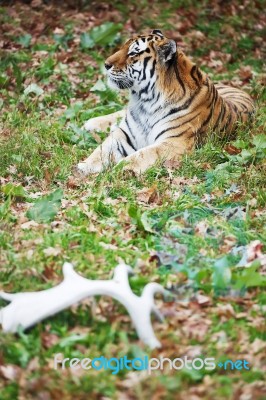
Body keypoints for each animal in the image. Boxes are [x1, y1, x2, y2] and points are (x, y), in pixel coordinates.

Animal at [76, 28, 254, 176]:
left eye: (133, 53)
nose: (106, 64)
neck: (144, 101)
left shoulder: (174, 142)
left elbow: (143, 154)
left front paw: (120, 168)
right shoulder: (123, 134)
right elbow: (102, 149)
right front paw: (85, 166)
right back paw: (90, 123)